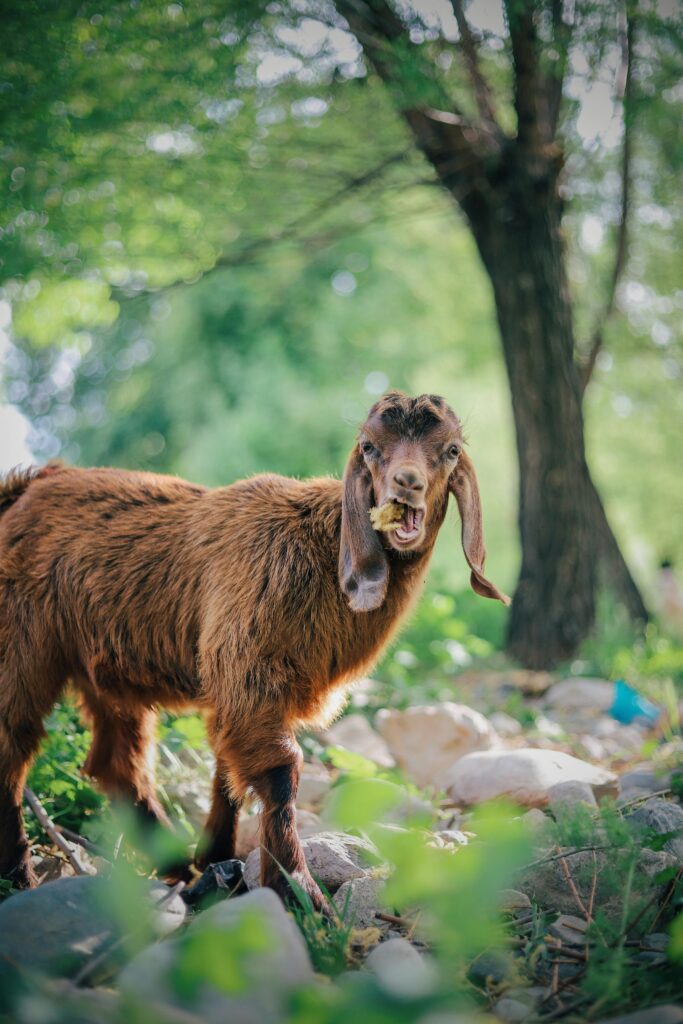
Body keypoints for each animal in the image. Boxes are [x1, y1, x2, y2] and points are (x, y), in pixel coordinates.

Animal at [0, 389, 507, 905]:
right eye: (368, 446)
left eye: (451, 450)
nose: (407, 484)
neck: (321, 549)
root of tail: (27, 487)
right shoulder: (246, 664)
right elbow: (281, 772)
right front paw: (301, 893)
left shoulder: (237, 687)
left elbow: (228, 767)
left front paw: (218, 861)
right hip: (20, 642)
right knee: (12, 745)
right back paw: (21, 877)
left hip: (103, 670)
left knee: (116, 762)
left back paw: (175, 866)